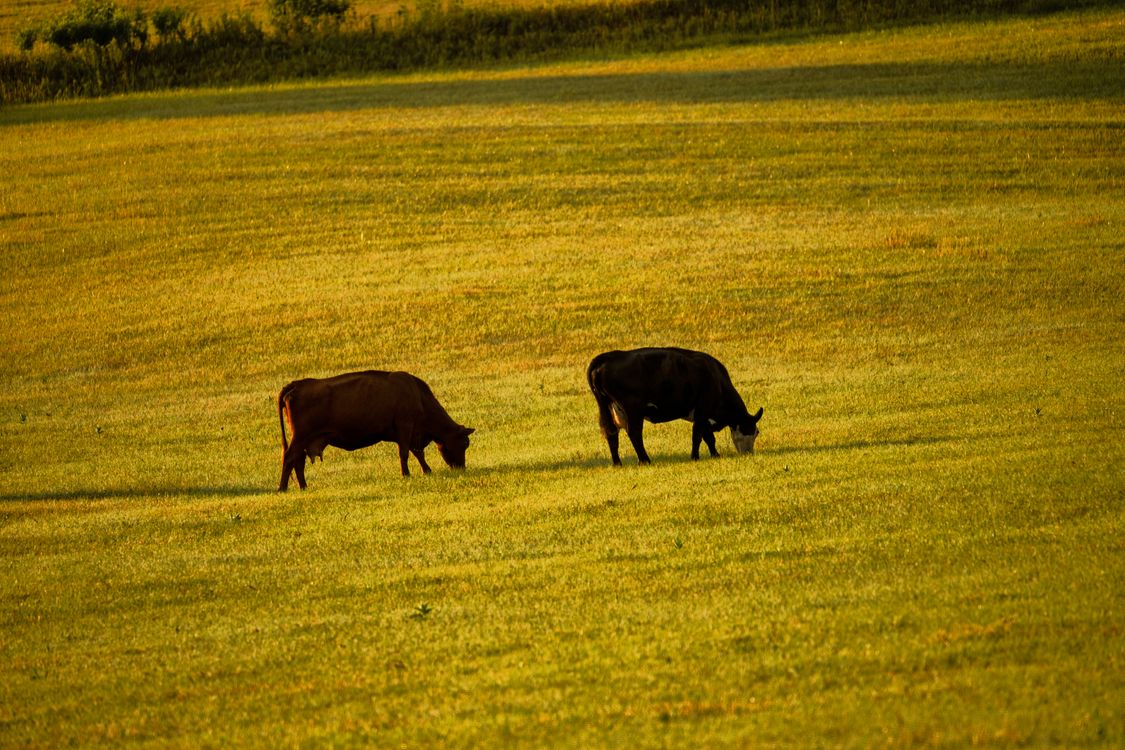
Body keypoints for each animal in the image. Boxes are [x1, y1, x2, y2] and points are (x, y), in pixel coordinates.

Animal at [277, 370, 474, 491]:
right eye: (464, 443)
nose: (461, 468)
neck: (418, 395)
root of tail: (296, 384)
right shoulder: (405, 427)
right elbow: (405, 453)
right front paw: (406, 474)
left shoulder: (410, 434)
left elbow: (417, 453)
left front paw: (427, 471)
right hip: (300, 438)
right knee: (289, 458)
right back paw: (282, 488)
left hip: (303, 441)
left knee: (298, 461)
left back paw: (303, 486)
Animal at [586, 347, 763, 465]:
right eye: (753, 431)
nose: (748, 453)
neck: (717, 380)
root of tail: (607, 357)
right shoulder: (702, 409)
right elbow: (699, 436)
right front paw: (695, 457)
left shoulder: (702, 415)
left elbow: (708, 437)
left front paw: (715, 454)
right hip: (633, 408)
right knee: (634, 433)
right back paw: (645, 460)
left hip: (607, 408)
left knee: (611, 432)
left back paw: (617, 463)